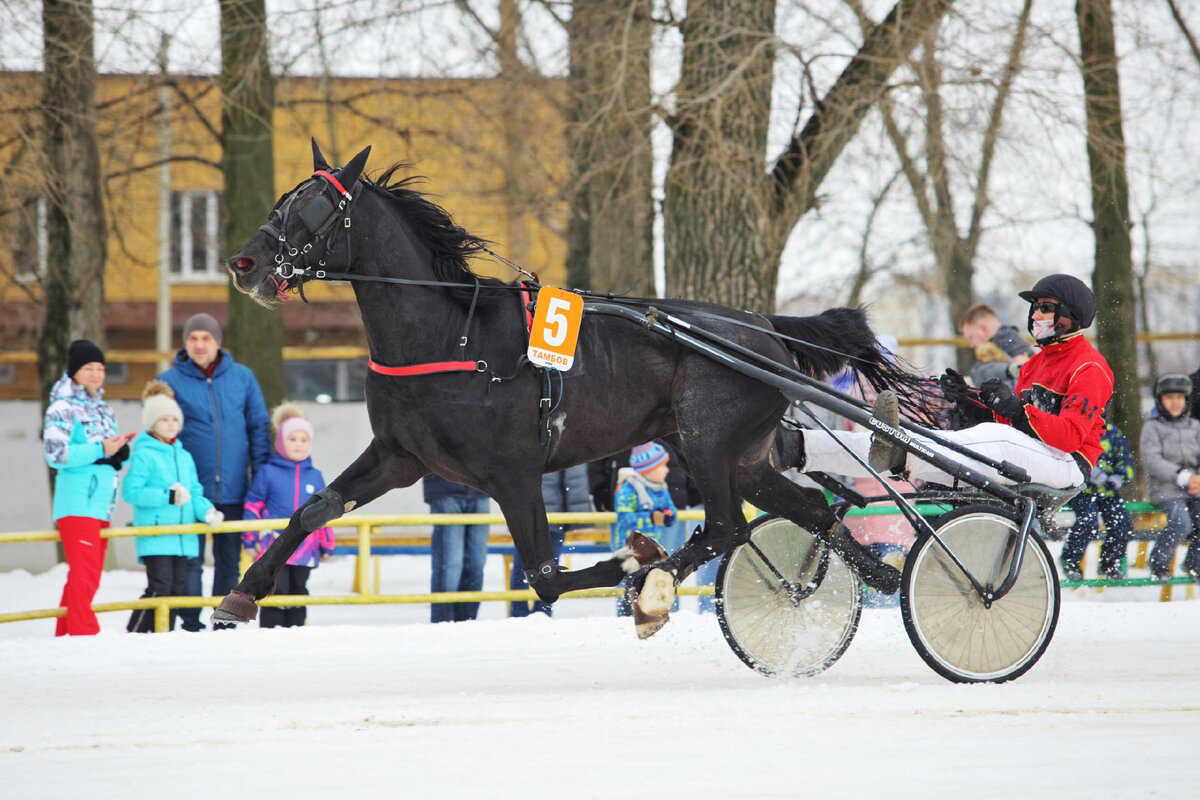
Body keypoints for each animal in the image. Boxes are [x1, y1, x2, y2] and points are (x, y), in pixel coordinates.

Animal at [216, 142, 926, 633]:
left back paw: (655, 582)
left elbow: (545, 578)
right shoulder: (401, 456)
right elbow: (312, 509)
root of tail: (765, 328)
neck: (451, 338)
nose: (242, 263)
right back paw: (882, 574)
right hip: (737, 455)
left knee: (727, 527)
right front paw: (242, 592)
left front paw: (631, 565)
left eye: (314, 207)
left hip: (708, 441)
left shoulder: (512, 471)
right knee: (807, 510)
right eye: (282, 201)